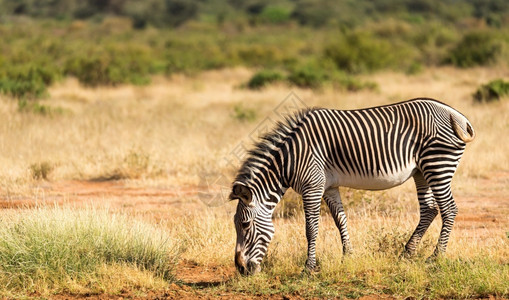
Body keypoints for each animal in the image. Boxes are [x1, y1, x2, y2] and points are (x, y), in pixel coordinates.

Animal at [228, 98, 474, 274]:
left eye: (245, 225)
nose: (241, 269)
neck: (289, 158)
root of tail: (457, 115)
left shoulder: (312, 186)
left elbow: (311, 228)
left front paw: (309, 267)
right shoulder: (328, 187)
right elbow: (340, 220)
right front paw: (348, 255)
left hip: (438, 164)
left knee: (449, 209)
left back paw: (436, 257)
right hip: (422, 171)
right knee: (429, 210)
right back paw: (407, 253)